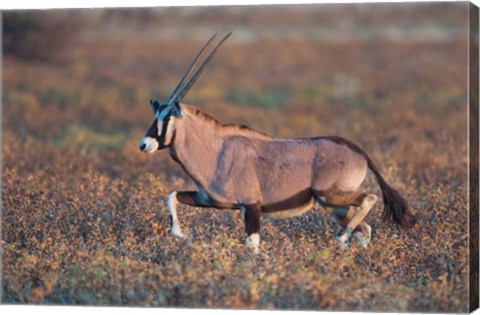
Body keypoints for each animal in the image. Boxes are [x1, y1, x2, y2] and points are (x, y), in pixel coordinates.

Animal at [139, 32, 416, 254]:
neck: (216, 151)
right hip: (334, 205)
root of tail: (359, 152)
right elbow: (172, 196)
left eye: (166, 118)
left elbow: (252, 244)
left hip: (332, 196)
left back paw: (342, 239)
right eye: (156, 115)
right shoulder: (210, 200)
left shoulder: (251, 206)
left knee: (368, 200)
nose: (144, 144)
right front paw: (178, 233)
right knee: (365, 228)